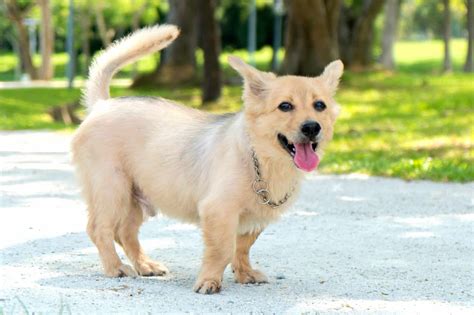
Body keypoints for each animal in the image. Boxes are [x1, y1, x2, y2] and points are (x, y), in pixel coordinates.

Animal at [70, 24, 342, 294]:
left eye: (320, 105)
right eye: (285, 106)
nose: (312, 127)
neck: (261, 160)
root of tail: (102, 105)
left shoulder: (255, 217)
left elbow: (242, 246)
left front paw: (245, 273)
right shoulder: (218, 210)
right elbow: (222, 249)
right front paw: (209, 281)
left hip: (135, 198)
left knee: (125, 233)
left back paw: (145, 265)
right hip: (111, 190)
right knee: (99, 229)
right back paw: (115, 267)